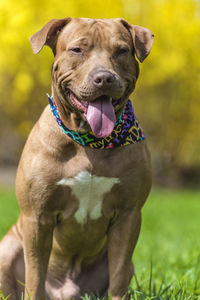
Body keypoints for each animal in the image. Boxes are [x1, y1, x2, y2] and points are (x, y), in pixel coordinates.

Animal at [0, 17, 154, 298]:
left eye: (122, 50)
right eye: (77, 50)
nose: (104, 78)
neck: (90, 142)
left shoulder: (128, 216)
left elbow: (118, 276)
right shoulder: (37, 216)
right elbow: (35, 274)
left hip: (126, 264)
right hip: (6, 250)